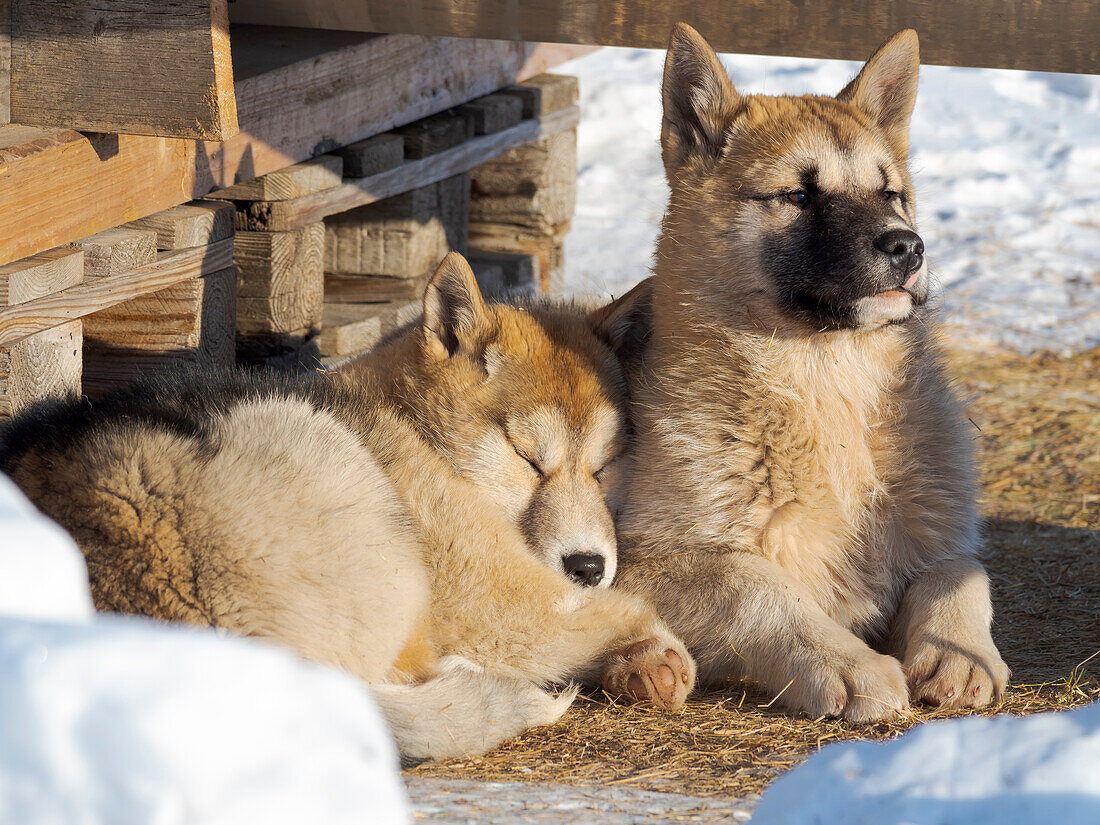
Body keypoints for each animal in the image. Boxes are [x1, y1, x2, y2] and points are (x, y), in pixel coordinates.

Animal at [2, 254, 695, 761]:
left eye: (606, 464)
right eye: (528, 459)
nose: (588, 565)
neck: (413, 430)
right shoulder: (502, 602)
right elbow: (623, 609)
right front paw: (651, 652)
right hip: (328, 461)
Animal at [616, 24, 1007, 721]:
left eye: (890, 193)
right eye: (798, 196)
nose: (908, 247)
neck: (829, 387)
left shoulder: (936, 535)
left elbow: (960, 574)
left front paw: (961, 654)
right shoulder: (648, 557)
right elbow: (757, 587)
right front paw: (847, 664)